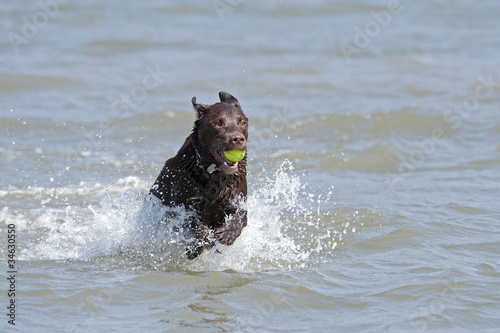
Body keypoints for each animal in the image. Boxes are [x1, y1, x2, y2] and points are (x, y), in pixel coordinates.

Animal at [150, 91, 248, 260]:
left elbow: (242, 214)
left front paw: (228, 233)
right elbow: (192, 221)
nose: (238, 139)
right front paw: (201, 242)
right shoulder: (177, 205)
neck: (214, 172)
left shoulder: (235, 196)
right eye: (218, 123)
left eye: (242, 123)